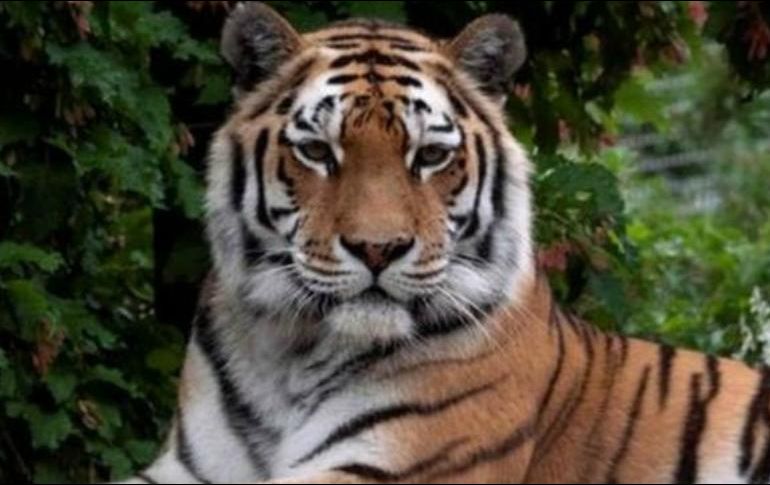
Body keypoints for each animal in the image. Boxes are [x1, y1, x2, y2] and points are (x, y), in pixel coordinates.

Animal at [121, 3, 770, 484]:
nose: (377, 248)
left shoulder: (396, 465)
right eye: (317, 151)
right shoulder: (188, 466)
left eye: (430, 155)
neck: (289, 354)